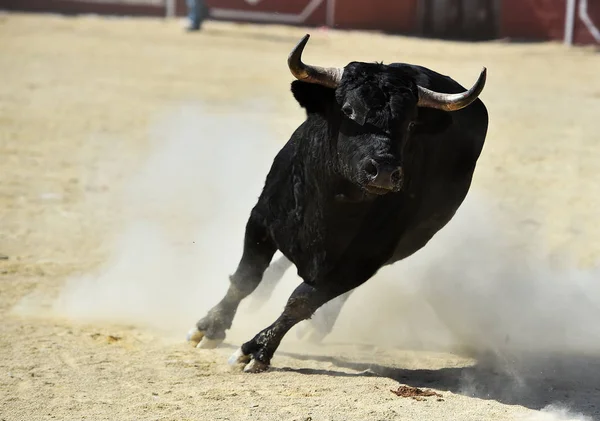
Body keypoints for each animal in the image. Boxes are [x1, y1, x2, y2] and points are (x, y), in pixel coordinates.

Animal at [188, 35, 488, 370]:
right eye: (348, 110)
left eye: (411, 124)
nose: (384, 170)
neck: (335, 201)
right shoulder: (262, 220)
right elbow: (245, 278)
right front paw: (209, 329)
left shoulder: (360, 262)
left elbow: (301, 301)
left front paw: (256, 350)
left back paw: (318, 326)